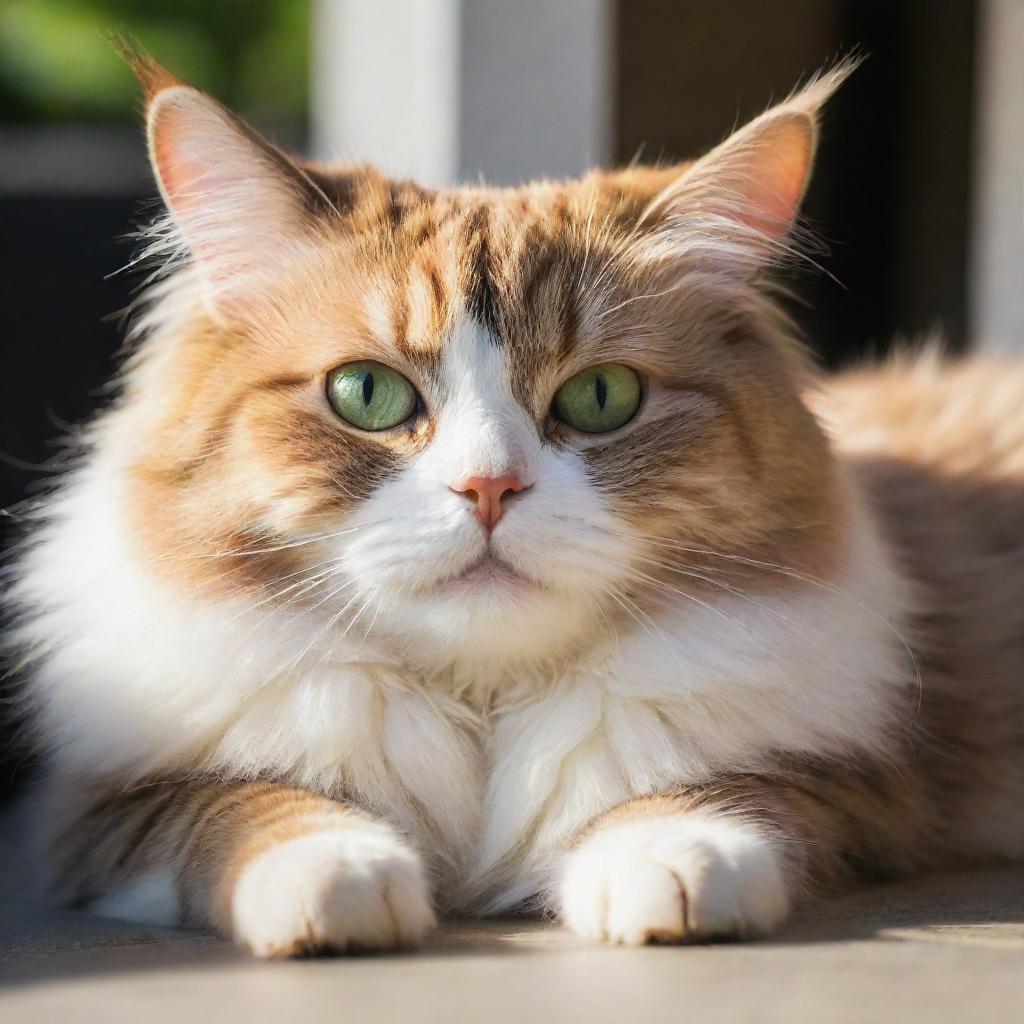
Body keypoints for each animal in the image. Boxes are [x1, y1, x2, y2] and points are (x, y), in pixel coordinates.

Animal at [4, 46, 1019, 958]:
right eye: (366, 394)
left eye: (601, 398)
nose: (489, 488)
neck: (483, 702)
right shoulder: (100, 813)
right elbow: (245, 808)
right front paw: (339, 876)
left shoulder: (857, 784)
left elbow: (713, 792)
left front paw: (672, 864)